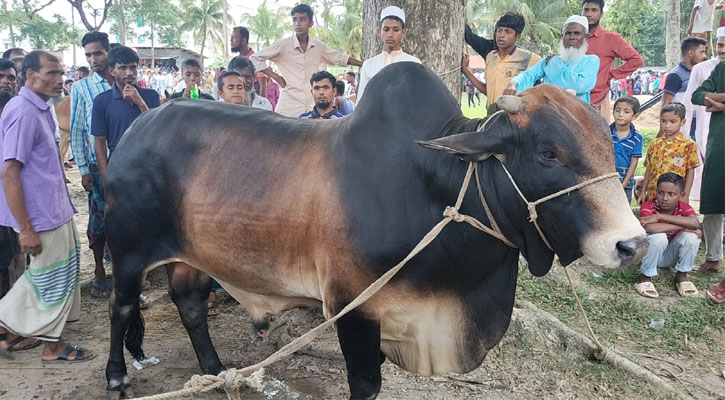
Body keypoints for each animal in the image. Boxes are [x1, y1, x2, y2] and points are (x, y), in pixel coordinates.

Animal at [102, 63, 644, 400]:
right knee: (122, 308)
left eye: (606, 142)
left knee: (190, 305)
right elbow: (365, 384)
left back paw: (215, 372)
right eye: (548, 152)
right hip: (128, 252)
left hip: (193, 256)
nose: (632, 244)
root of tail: (136, 129)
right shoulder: (354, 306)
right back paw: (116, 378)